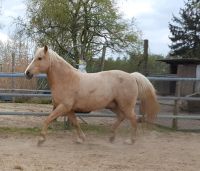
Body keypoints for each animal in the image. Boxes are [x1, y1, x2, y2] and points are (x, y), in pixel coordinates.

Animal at [24, 45, 159, 146]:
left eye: (40, 58)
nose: (27, 73)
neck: (66, 79)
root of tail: (132, 76)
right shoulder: (69, 109)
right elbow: (75, 123)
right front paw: (81, 139)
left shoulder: (64, 106)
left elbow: (48, 119)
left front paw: (41, 139)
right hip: (113, 105)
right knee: (121, 117)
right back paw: (111, 137)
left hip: (126, 106)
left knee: (133, 119)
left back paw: (130, 141)